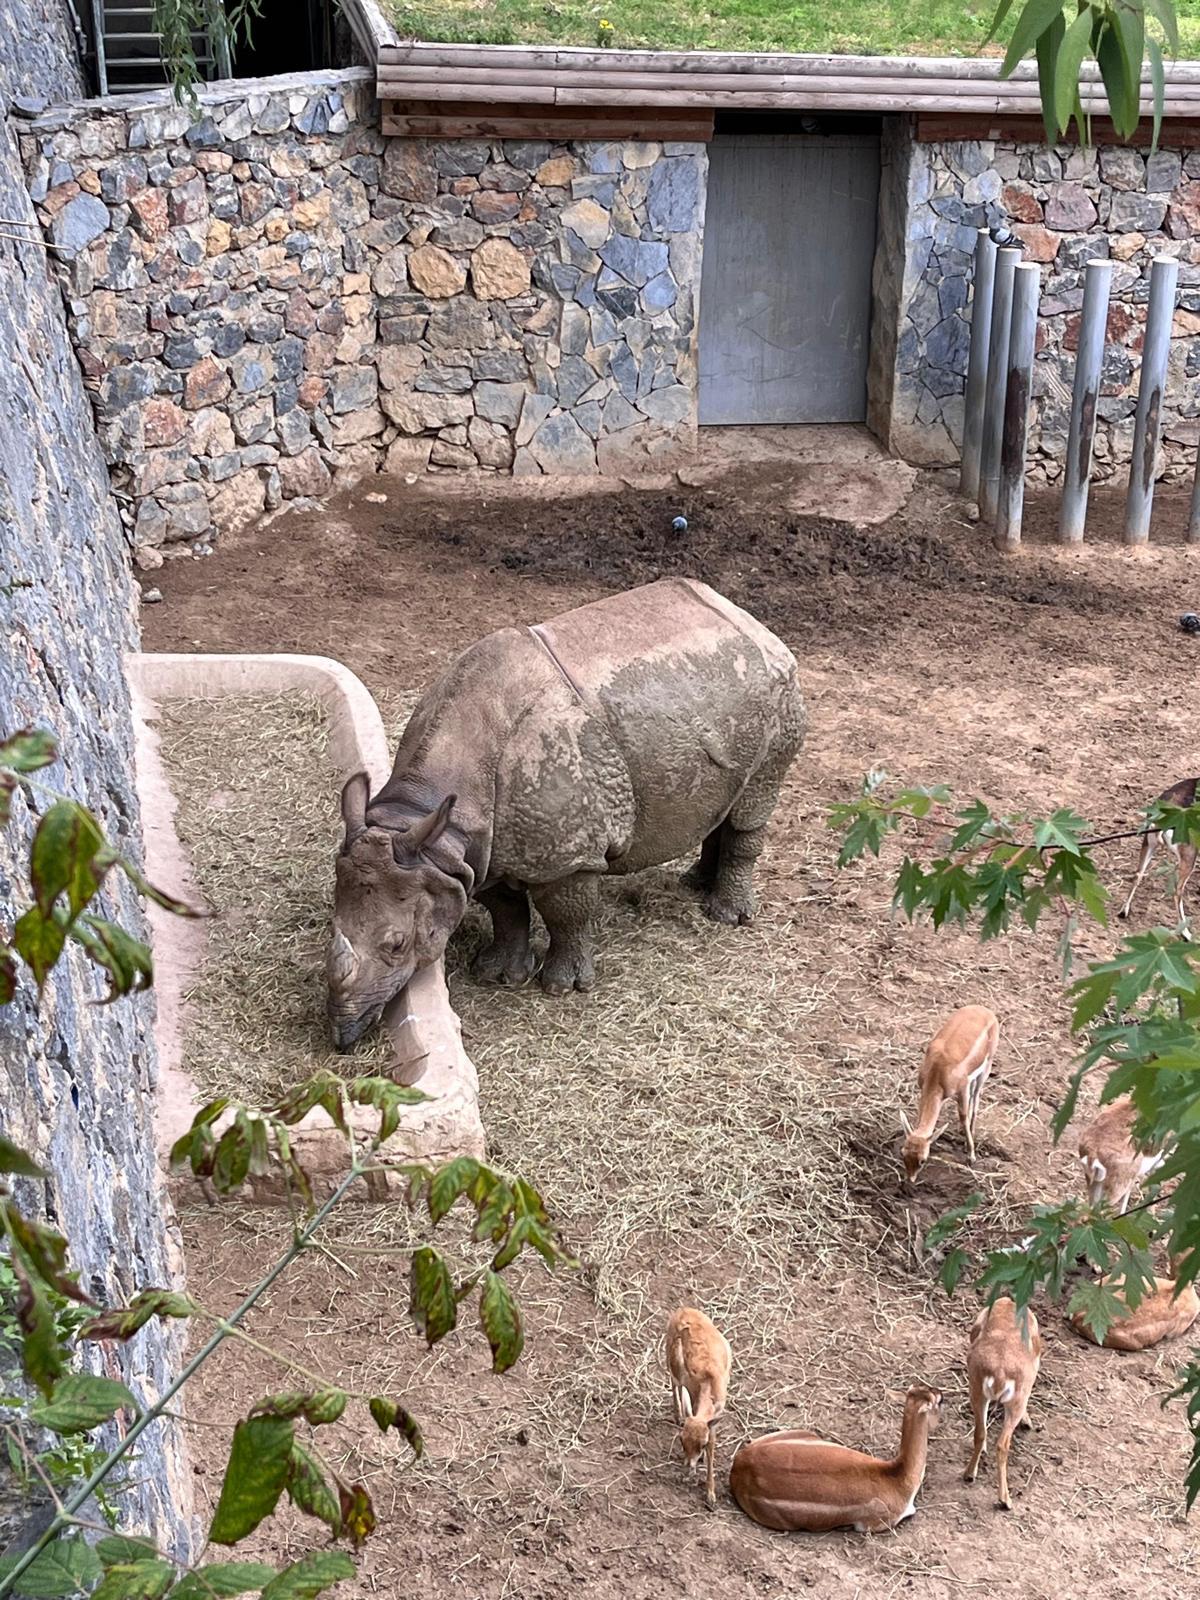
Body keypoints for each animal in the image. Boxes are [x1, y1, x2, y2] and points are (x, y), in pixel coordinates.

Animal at [668, 1305, 732, 1504]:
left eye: (701, 1444)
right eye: (681, 1440)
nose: (689, 1466)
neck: (709, 1382)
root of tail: (683, 1309)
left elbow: (712, 1446)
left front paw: (711, 1495)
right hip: (671, 1362)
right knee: (674, 1384)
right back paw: (677, 1416)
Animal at [902, 1004, 1004, 1184]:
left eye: (923, 1160)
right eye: (903, 1154)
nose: (910, 1179)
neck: (938, 1072)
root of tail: (986, 1010)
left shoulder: (962, 1089)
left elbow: (963, 1116)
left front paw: (971, 1156)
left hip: (986, 1068)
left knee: (976, 1099)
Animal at [966, 1299, 1043, 1510]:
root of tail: (1000, 1373)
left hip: (977, 1391)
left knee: (980, 1433)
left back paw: (969, 1474)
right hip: (1015, 1402)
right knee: (1002, 1445)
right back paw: (1005, 1500)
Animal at [1120, 777, 1200, 934]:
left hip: (1149, 843)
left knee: (1138, 874)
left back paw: (1123, 912)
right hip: (1189, 855)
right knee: (1177, 892)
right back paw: (1185, 933)